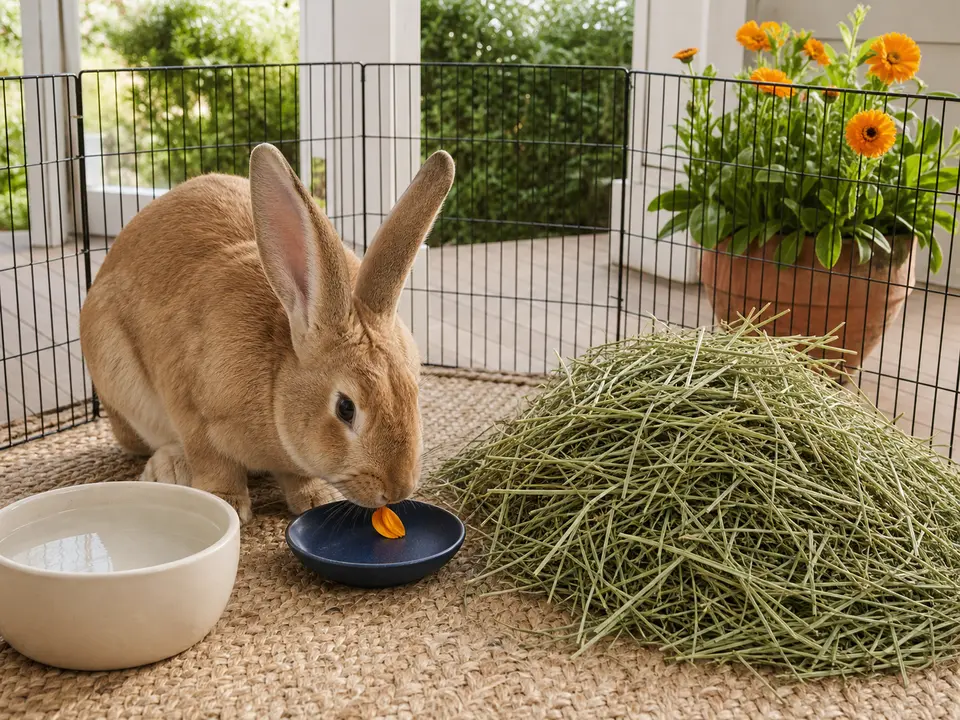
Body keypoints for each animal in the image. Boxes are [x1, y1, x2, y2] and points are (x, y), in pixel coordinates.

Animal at [79, 143, 455, 523]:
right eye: (345, 408)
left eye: (414, 391)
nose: (397, 489)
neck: (276, 381)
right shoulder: (191, 409)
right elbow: (213, 462)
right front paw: (228, 503)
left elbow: (299, 476)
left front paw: (316, 497)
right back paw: (170, 468)